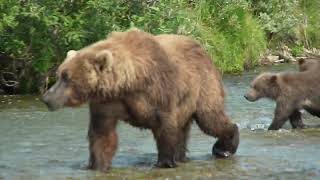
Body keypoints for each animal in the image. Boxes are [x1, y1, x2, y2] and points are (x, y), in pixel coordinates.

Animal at [42, 28, 238, 172]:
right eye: (59, 74)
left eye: (66, 77)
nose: (46, 98)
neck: (128, 82)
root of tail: (204, 50)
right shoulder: (107, 102)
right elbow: (102, 134)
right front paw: (98, 165)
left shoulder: (159, 92)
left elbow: (165, 127)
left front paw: (165, 162)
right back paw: (183, 156)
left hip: (203, 85)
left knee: (210, 118)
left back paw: (224, 147)